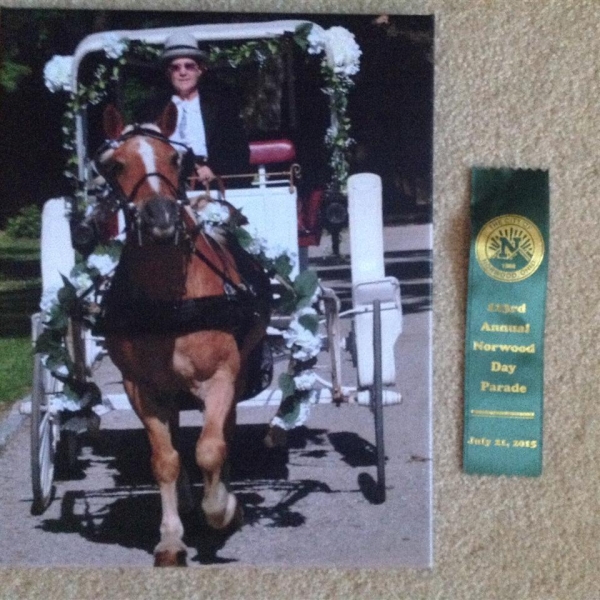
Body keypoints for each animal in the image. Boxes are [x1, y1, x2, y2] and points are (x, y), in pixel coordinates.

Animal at [94, 103, 270, 568]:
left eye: (176, 159)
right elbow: (165, 460)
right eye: (117, 164)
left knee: (224, 433)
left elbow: (211, 447)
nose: (161, 219)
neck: (170, 301)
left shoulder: (222, 377)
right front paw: (171, 537)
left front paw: (223, 507)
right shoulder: (142, 389)